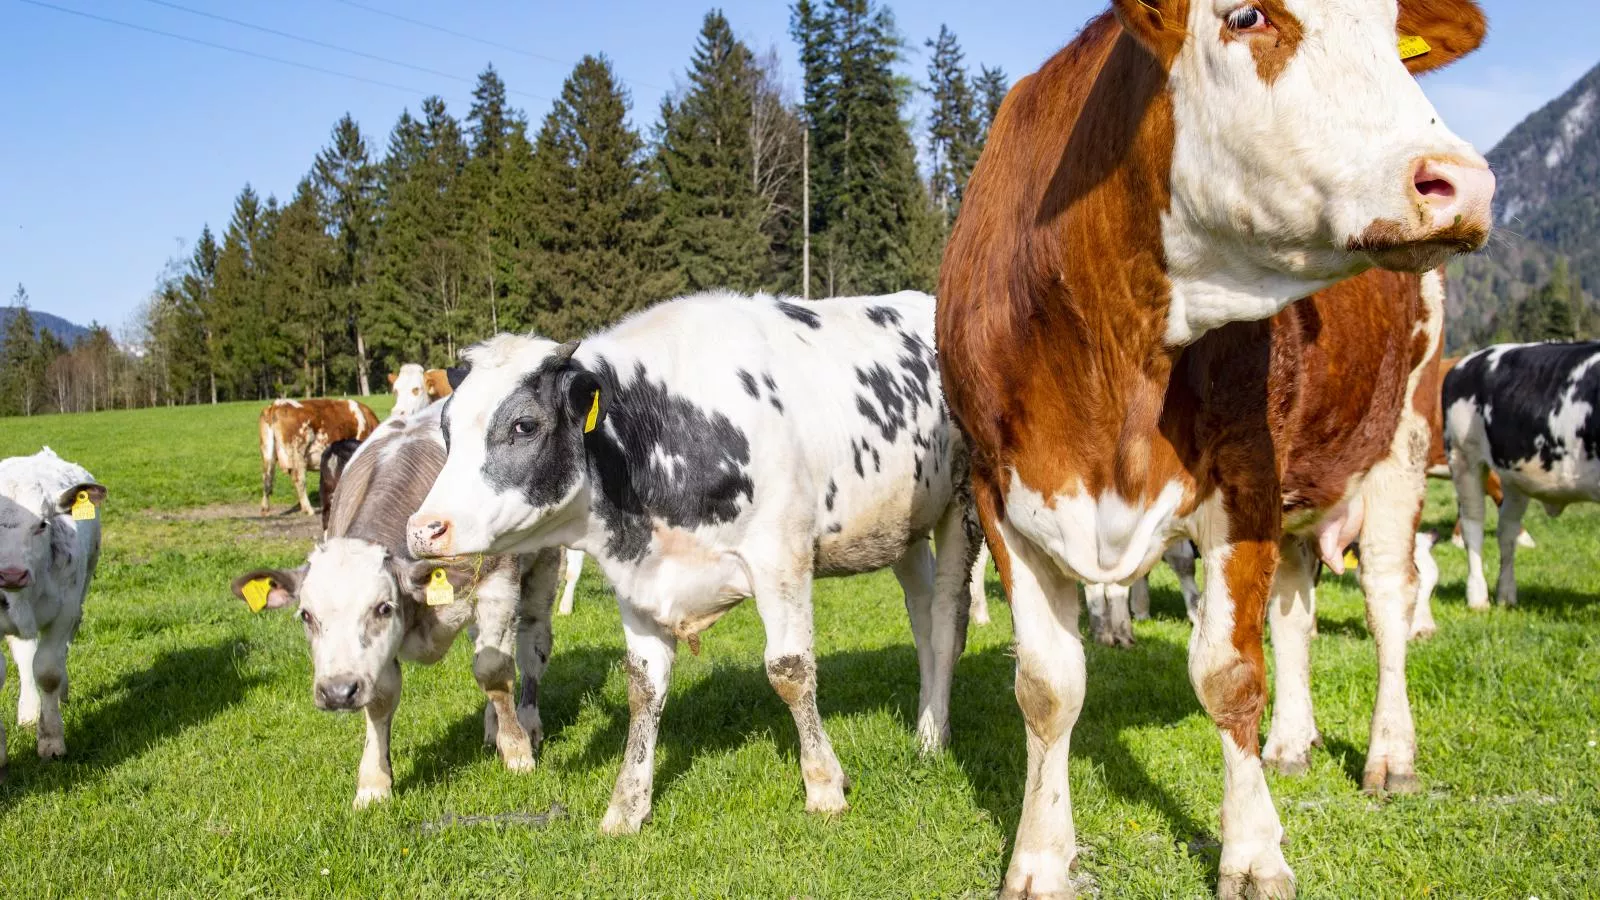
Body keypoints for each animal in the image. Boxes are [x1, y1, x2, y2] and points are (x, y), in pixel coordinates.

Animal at [0, 445, 104, 775]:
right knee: (24, 655)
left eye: (42, 525)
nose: (11, 575)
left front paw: (51, 740)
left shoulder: (64, 612)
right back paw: (29, 710)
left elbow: (48, 671)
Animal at [232, 400, 563, 807]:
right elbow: (381, 699)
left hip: (542, 570)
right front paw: (374, 783)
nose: (337, 692)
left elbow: (494, 671)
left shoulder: (497, 587)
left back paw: (526, 723)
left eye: (382, 607)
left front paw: (517, 753)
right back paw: (491, 728)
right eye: (306, 616)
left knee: (531, 647)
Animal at [406, 288, 979, 832]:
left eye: (524, 425)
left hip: (962, 506)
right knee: (921, 618)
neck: (669, 430)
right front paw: (626, 806)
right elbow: (643, 688)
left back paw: (933, 736)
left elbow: (790, 670)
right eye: (446, 427)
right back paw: (927, 719)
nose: (424, 528)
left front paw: (824, 787)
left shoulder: (781, 558)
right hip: (903, 529)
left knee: (947, 623)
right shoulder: (636, 577)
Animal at [934, 3, 1491, 890]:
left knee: (1387, 599)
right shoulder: (1002, 492)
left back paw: (1390, 755)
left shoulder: (1245, 480)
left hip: (1402, 436)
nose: (1463, 181)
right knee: (1295, 611)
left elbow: (1229, 676)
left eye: (1390, 32)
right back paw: (1292, 744)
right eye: (1246, 15)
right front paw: (1039, 861)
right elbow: (1047, 687)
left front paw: (1254, 854)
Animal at [1446, 339, 1600, 605]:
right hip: (1464, 458)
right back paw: (1478, 598)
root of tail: (1467, 361)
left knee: (1506, 530)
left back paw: (1506, 596)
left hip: (1513, 477)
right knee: (1473, 526)